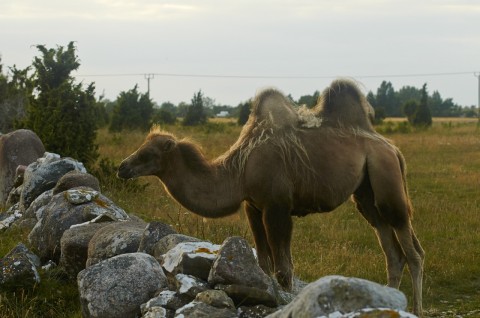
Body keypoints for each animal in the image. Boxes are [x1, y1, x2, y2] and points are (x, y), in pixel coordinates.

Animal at [118, 79, 426, 316]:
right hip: (365, 193)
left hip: (386, 177)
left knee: (412, 250)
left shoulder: (277, 207)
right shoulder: (253, 207)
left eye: (148, 154)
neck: (240, 171)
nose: (122, 167)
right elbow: (264, 266)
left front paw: (287, 304)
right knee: (391, 249)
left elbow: (283, 270)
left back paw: (417, 309)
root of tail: (393, 148)